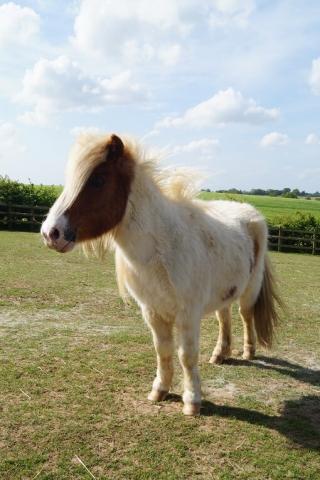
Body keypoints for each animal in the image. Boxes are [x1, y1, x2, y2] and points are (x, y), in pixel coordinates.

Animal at [41, 133, 282, 414]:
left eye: (98, 180)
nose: (51, 233)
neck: (162, 247)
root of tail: (252, 213)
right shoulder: (153, 312)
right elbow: (163, 350)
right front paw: (160, 391)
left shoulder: (188, 314)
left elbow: (186, 355)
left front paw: (192, 402)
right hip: (226, 291)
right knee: (224, 318)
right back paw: (220, 355)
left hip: (250, 289)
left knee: (245, 315)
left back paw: (248, 352)